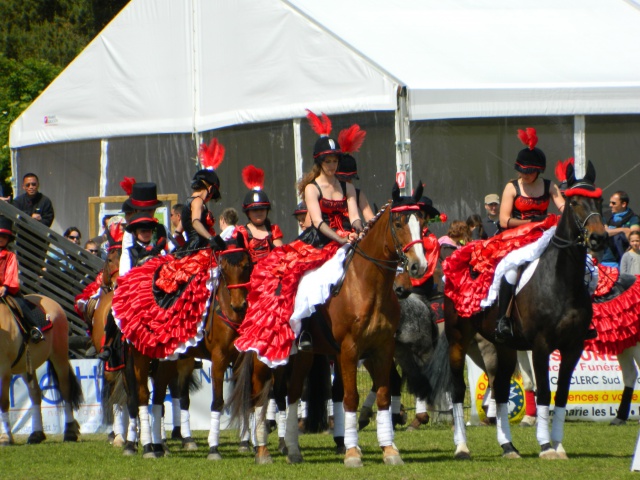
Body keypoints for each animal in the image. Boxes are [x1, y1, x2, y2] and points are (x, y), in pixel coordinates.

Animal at [0, 296, 84, 446]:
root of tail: (51, 301)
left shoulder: (4, 370)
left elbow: (3, 402)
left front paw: (5, 438)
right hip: (26, 366)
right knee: (35, 394)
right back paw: (36, 434)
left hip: (59, 356)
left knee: (65, 390)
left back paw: (69, 432)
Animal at [228, 185, 428, 468]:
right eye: (398, 223)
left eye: (421, 222)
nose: (418, 266)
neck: (368, 285)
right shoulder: (349, 350)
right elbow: (350, 398)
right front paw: (353, 453)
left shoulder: (382, 349)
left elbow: (383, 395)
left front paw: (389, 450)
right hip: (265, 356)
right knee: (259, 396)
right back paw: (262, 451)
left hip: (302, 355)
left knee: (292, 394)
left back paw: (293, 450)